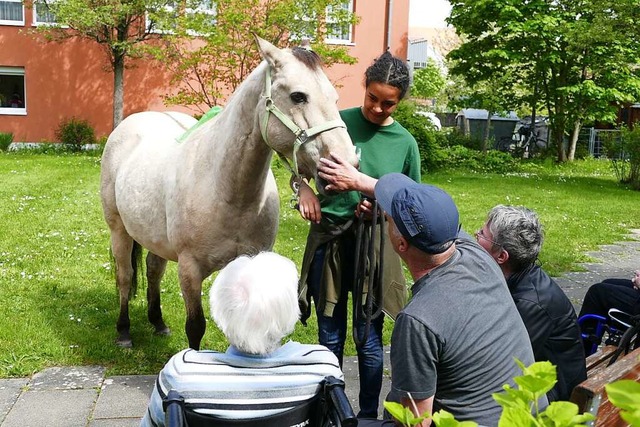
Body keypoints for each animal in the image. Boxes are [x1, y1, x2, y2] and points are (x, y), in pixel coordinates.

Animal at [102, 36, 358, 350]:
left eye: (334, 98)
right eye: (299, 96)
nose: (347, 166)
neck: (227, 192)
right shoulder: (189, 268)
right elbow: (195, 327)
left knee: (153, 270)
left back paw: (158, 322)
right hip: (119, 230)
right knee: (125, 276)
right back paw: (124, 331)